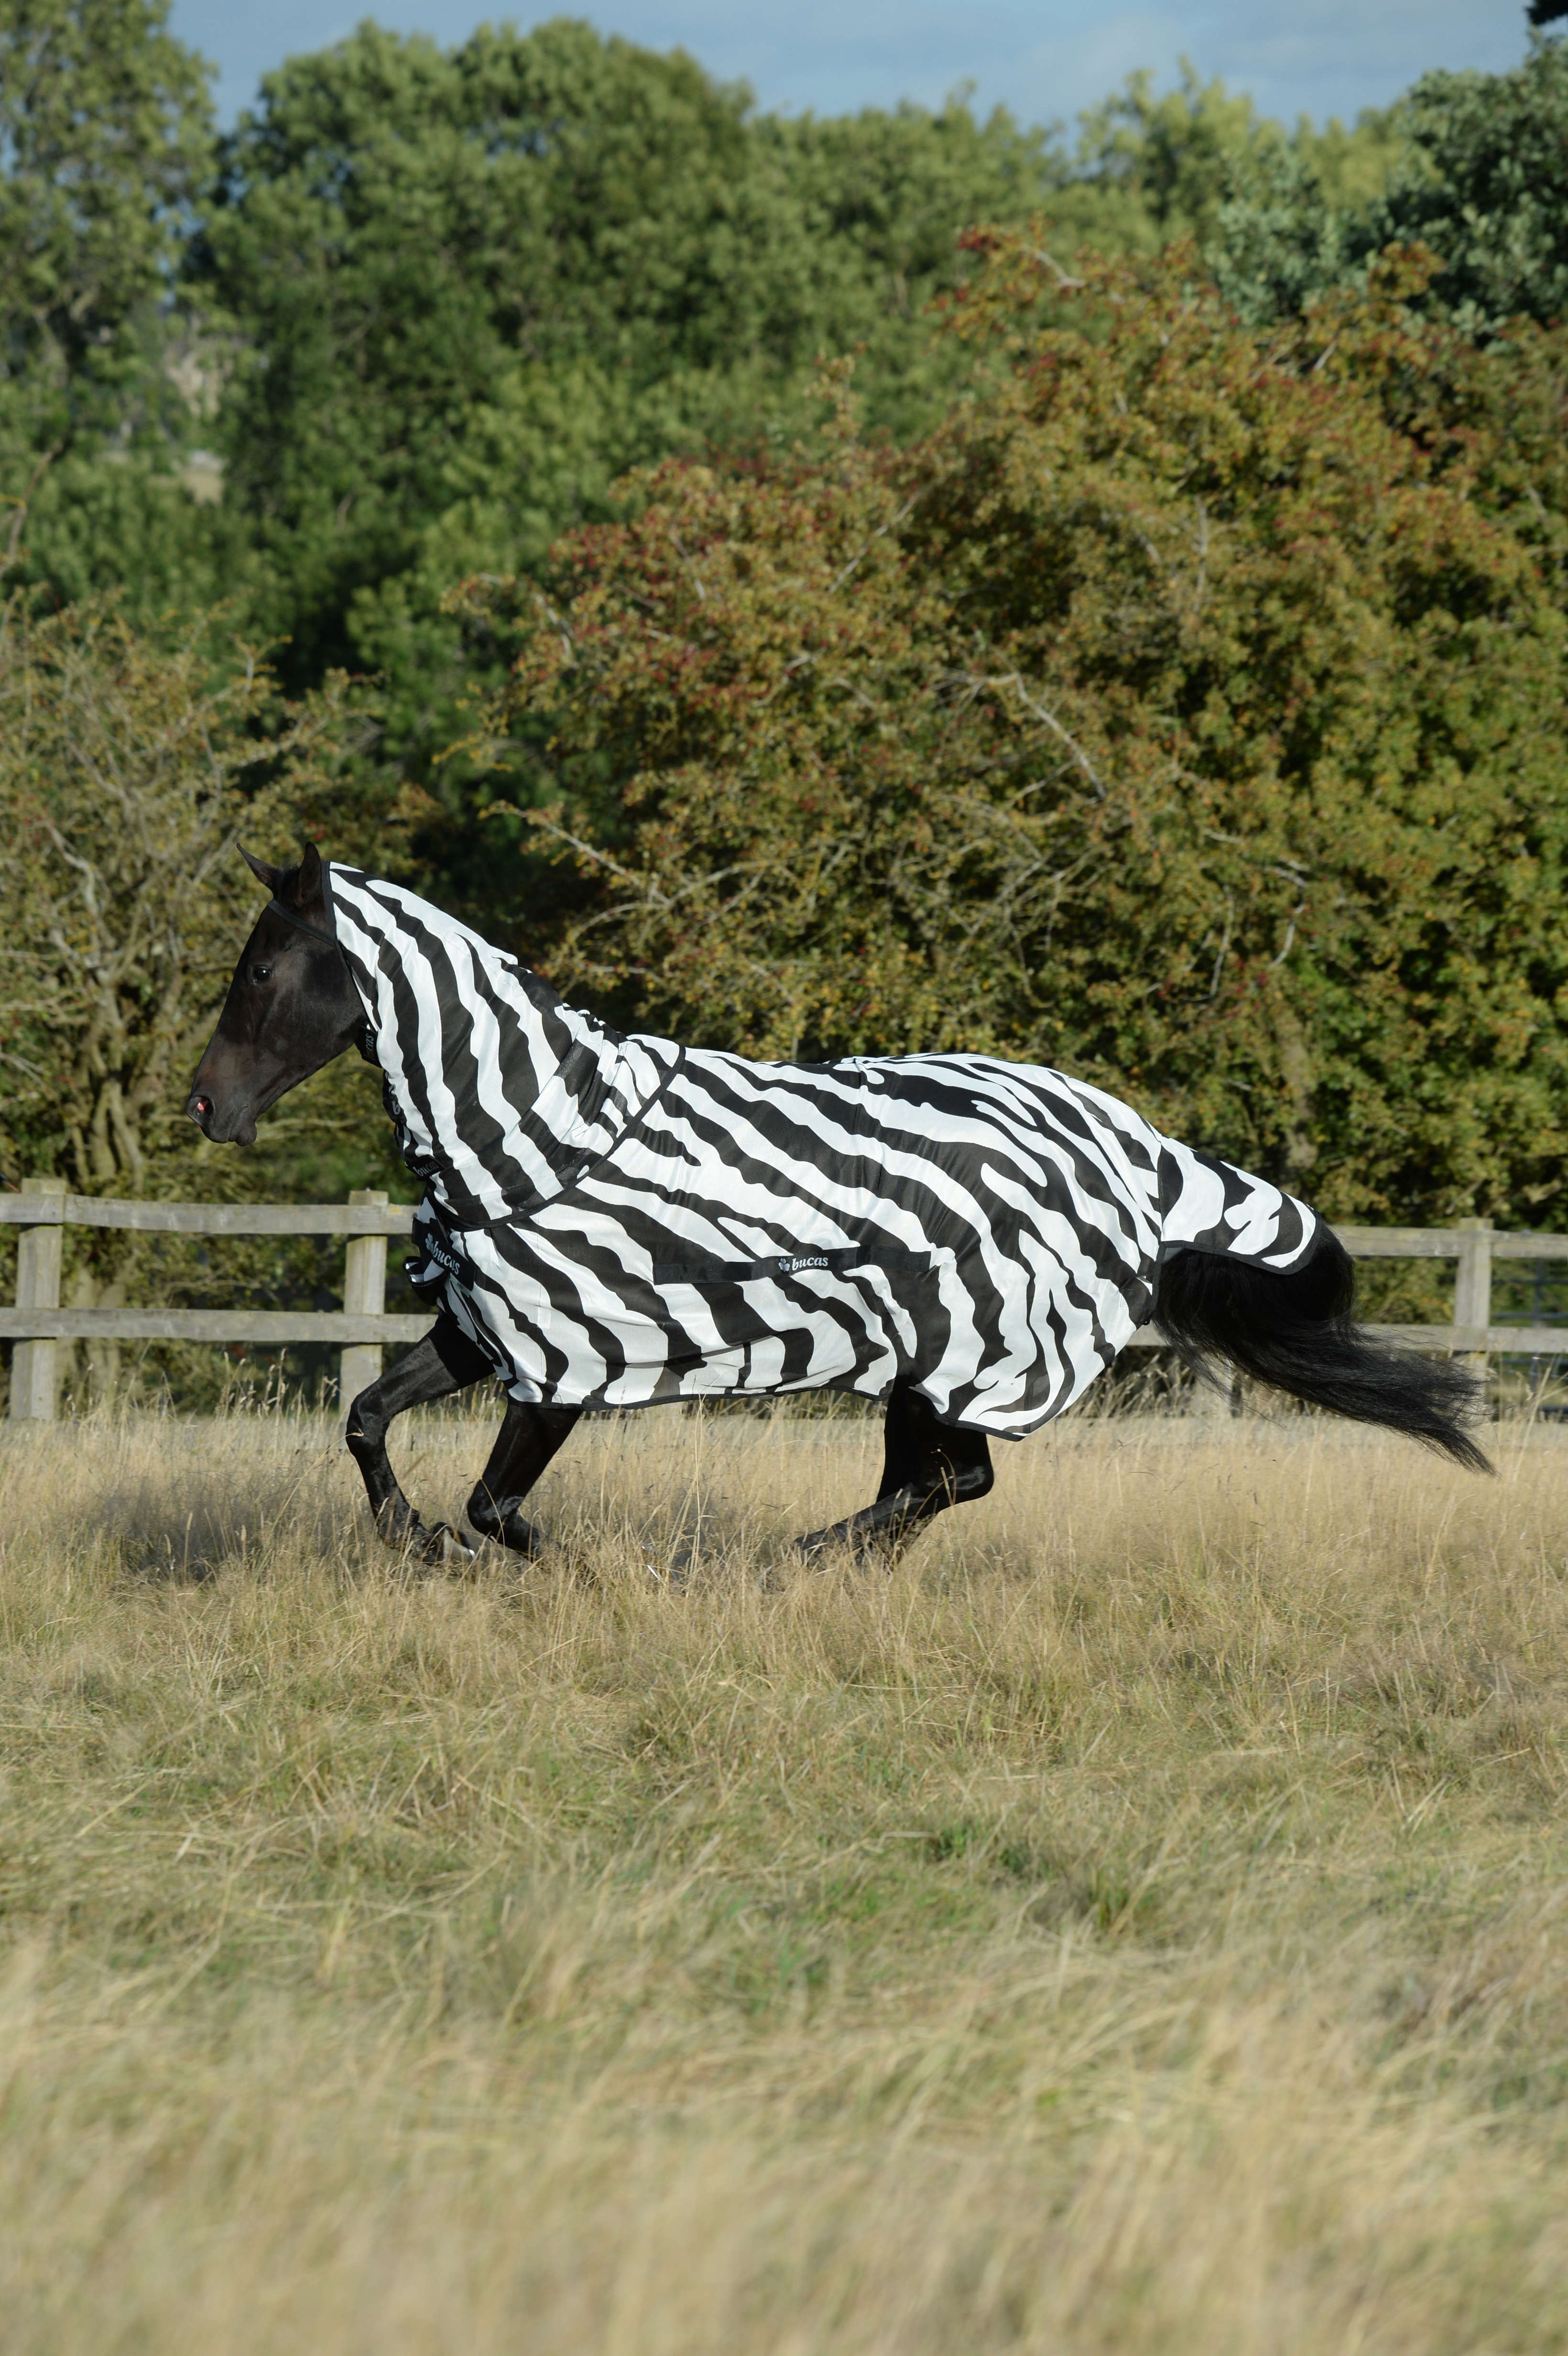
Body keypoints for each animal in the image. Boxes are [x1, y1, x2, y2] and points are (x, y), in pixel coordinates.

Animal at [187, 845, 1487, 1564]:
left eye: (262, 968)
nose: (204, 1106)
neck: (540, 1131)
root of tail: (1137, 1151)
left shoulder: (564, 1366)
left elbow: (496, 1506)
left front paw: (582, 1570)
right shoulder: (479, 1330)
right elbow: (367, 1419)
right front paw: (416, 1548)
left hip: (957, 1361)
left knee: (940, 1484)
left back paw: (792, 1559)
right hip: (927, 1372)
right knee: (937, 1487)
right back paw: (821, 1562)